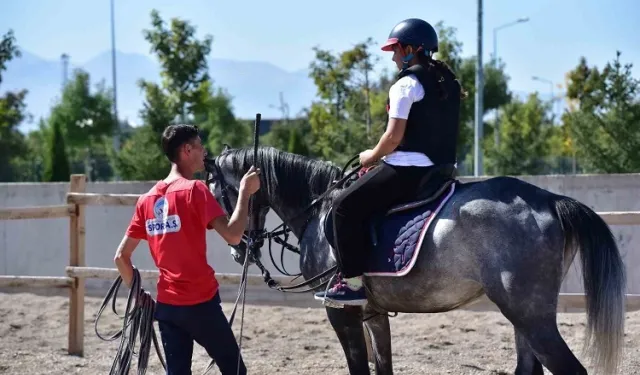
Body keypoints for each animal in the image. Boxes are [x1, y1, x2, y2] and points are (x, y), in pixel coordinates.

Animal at [205, 145, 624, 374]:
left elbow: (358, 367)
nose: (238, 248)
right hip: (523, 317)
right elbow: (383, 367)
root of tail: (551, 200)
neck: (319, 208)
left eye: (216, 189)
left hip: (531, 316)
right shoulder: (372, 313)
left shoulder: (341, 313)